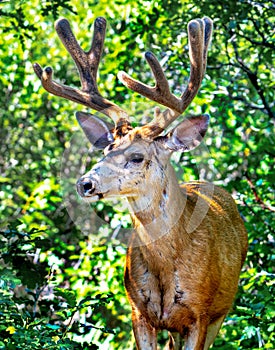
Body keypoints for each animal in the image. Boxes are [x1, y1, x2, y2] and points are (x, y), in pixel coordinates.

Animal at [33, 15, 249, 348]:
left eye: (136, 156)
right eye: (105, 150)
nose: (85, 183)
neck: (167, 263)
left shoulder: (200, 313)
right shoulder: (138, 310)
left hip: (221, 312)